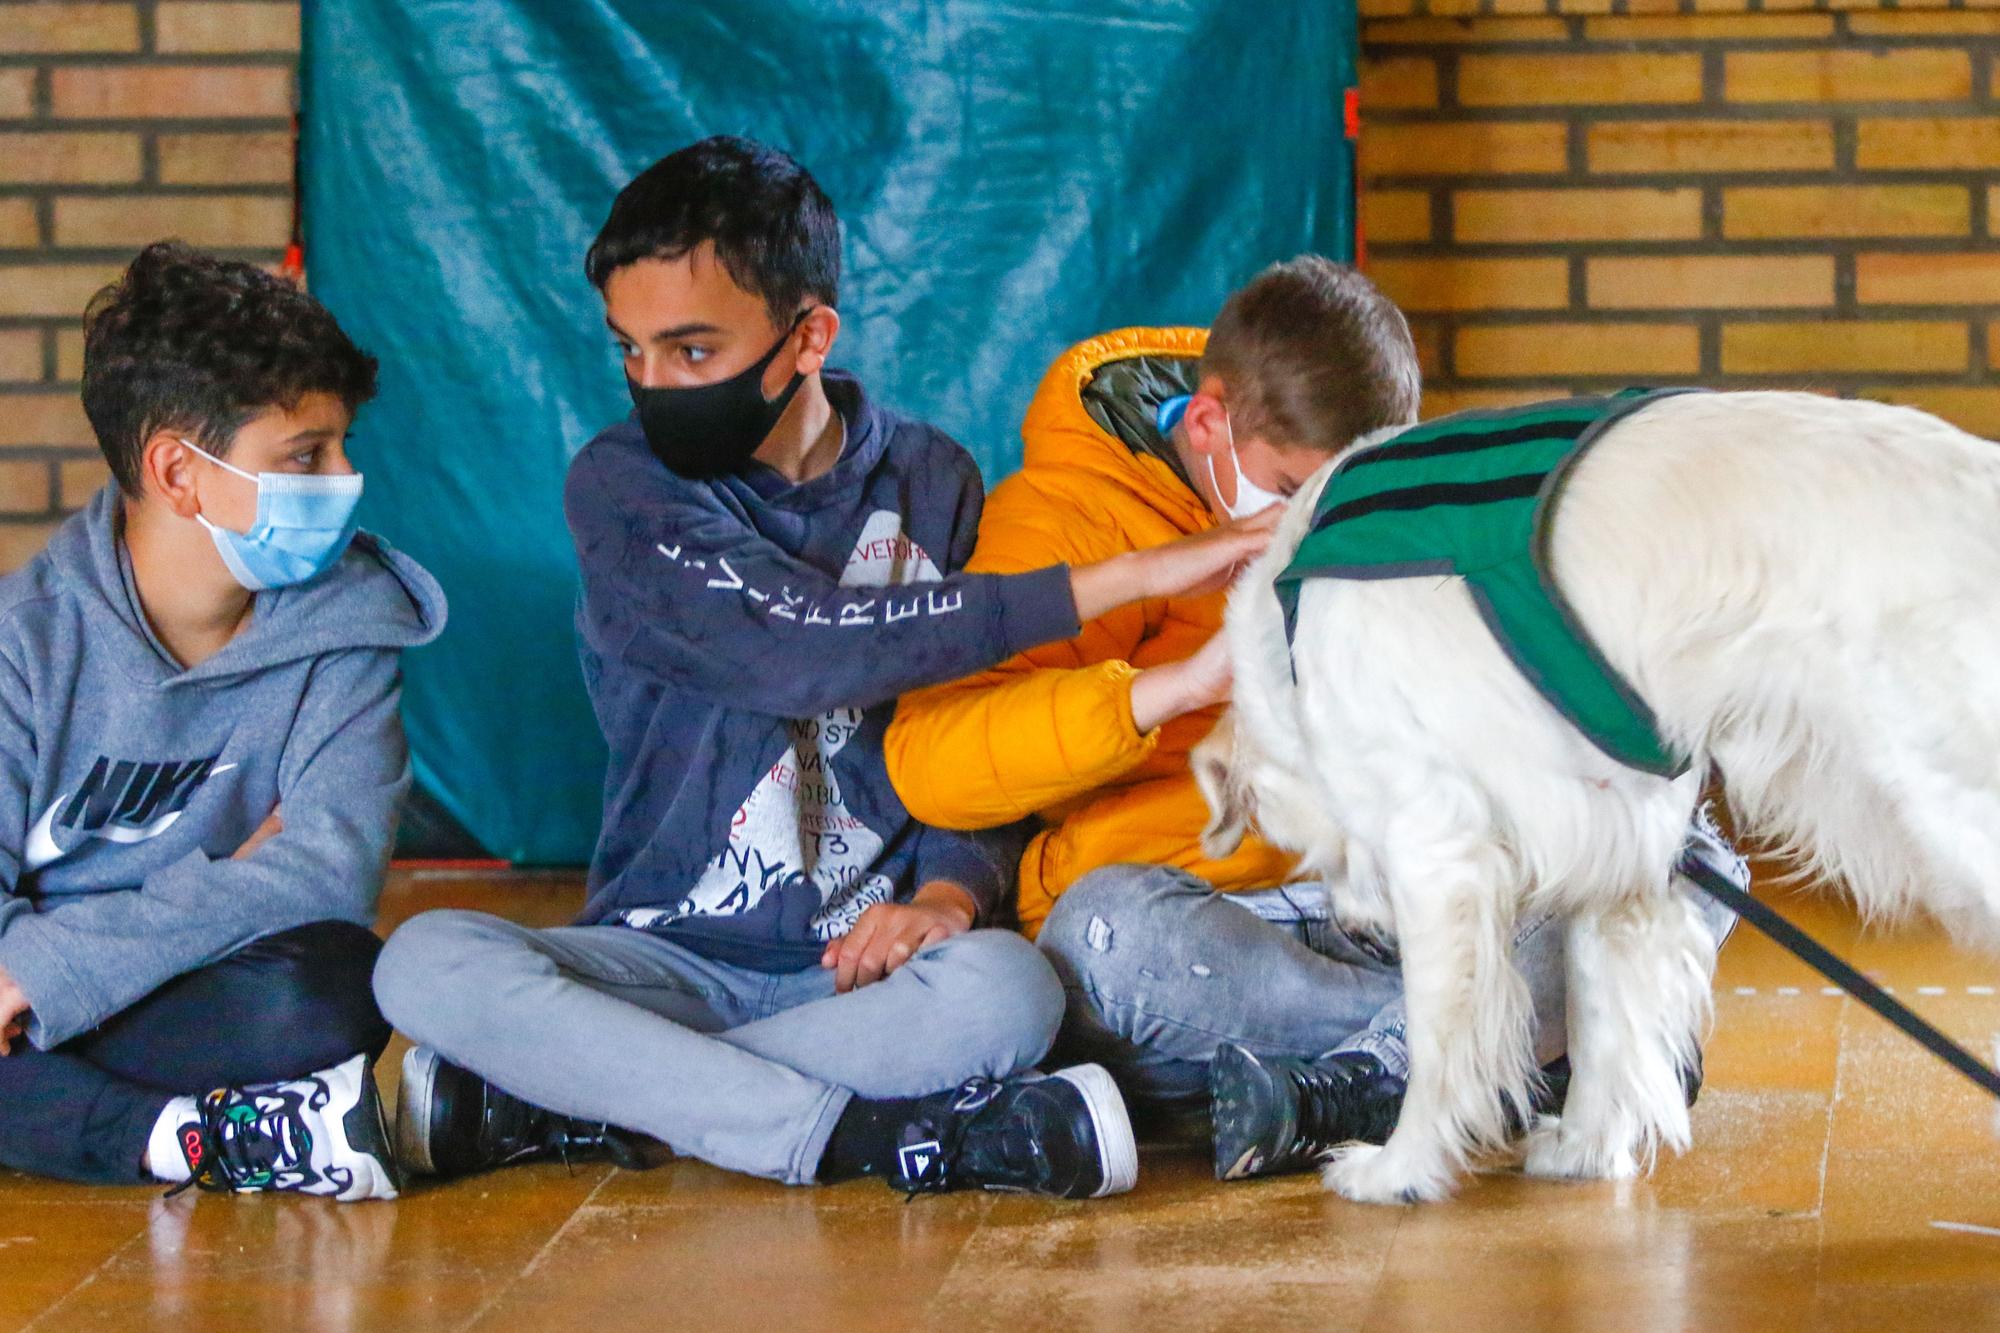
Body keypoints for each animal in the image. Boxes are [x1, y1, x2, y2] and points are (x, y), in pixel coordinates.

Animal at [1192, 386, 2000, 1200]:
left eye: (1301, 845)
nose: (1361, 933)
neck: (1293, 634)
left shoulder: (1437, 852)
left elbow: (1437, 1036)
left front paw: (1403, 1167)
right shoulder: (1618, 844)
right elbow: (1601, 1018)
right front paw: (1584, 1147)